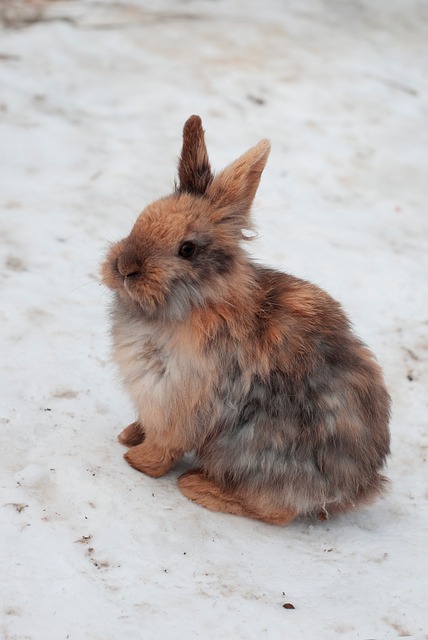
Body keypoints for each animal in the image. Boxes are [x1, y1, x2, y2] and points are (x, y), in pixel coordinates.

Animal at [101, 115, 391, 526]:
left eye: (187, 249)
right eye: (141, 218)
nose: (125, 267)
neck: (199, 302)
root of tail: (358, 488)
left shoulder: (178, 399)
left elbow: (164, 445)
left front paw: (135, 459)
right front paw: (129, 434)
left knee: (277, 512)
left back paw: (200, 487)